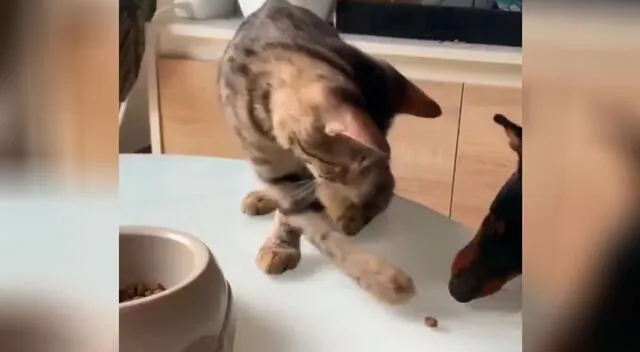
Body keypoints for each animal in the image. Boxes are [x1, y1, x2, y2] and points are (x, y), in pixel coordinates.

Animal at [218, 0, 442, 304]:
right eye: (337, 165)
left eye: (351, 167)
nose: (345, 182)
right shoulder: (283, 177)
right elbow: (321, 232)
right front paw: (382, 279)